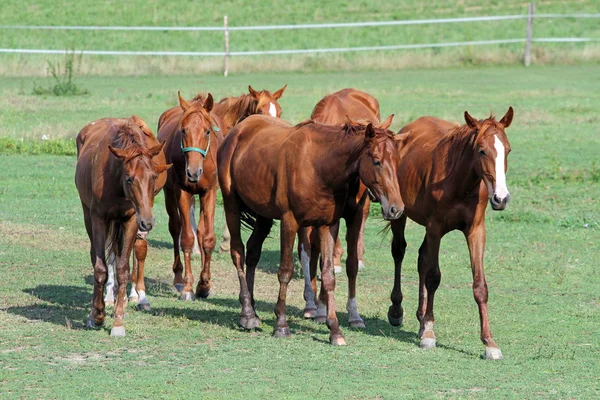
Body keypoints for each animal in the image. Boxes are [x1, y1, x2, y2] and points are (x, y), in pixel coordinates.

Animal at [74, 116, 170, 338]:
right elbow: (100, 268)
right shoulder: (99, 219)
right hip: (89, 216)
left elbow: (123, 268)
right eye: (130, 178)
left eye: (154, 177)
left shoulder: (131, 220)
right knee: (97, 255)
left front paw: (118, 321)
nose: (148, 222)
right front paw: (97, 315)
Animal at [158, 91, 224, 300]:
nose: (193, 173)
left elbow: (207, 238)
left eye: (207, 131)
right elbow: (186, 238)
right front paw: (188, 287)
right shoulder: (182, 192)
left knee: (201, 232)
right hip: (169, 194)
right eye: (184, 131)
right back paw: (179, 280)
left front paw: (204, 285)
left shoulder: (209, 192)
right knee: (175, 229)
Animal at [216, 114, 404, 346]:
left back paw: (251, 309)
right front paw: (281, 325)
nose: (396, 208)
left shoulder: (327, 225)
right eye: (377, 161)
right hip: (231, 205)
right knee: (238, 252)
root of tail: (237, 130)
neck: (318, 166)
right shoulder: (289, 222)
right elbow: (285, 271)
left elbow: (329, 275)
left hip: (263, 215)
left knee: (252, 252)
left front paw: (335, 330)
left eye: (397, 161)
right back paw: (247, 315)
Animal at [300, 87, 394, 328]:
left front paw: (350, 313)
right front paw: (316, 306)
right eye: (376, 160)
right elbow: (312, 254)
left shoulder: (356, 211)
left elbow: (346, 262)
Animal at [390, 106, 516, 360]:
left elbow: (480, 286)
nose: (501, 198)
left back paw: (420, 320)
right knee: (399, 252)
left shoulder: (476, 231)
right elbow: (433, 277)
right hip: (400, 214)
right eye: (481, 151)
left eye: (507, 150)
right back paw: (397, 311)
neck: (459, 182)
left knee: (421, 258)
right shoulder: (435, 228)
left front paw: (490, 343)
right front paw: (429, 334)